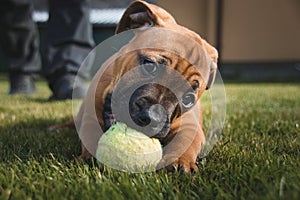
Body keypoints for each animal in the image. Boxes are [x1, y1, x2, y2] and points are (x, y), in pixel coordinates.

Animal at [74, 0, 217, 173]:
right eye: (149, 65)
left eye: (188, 99)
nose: (152, 119)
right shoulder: (91, 117)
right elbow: (90, 134)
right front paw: (90, 156)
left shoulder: (190, 126)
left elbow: (185, 142)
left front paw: (180, 161)